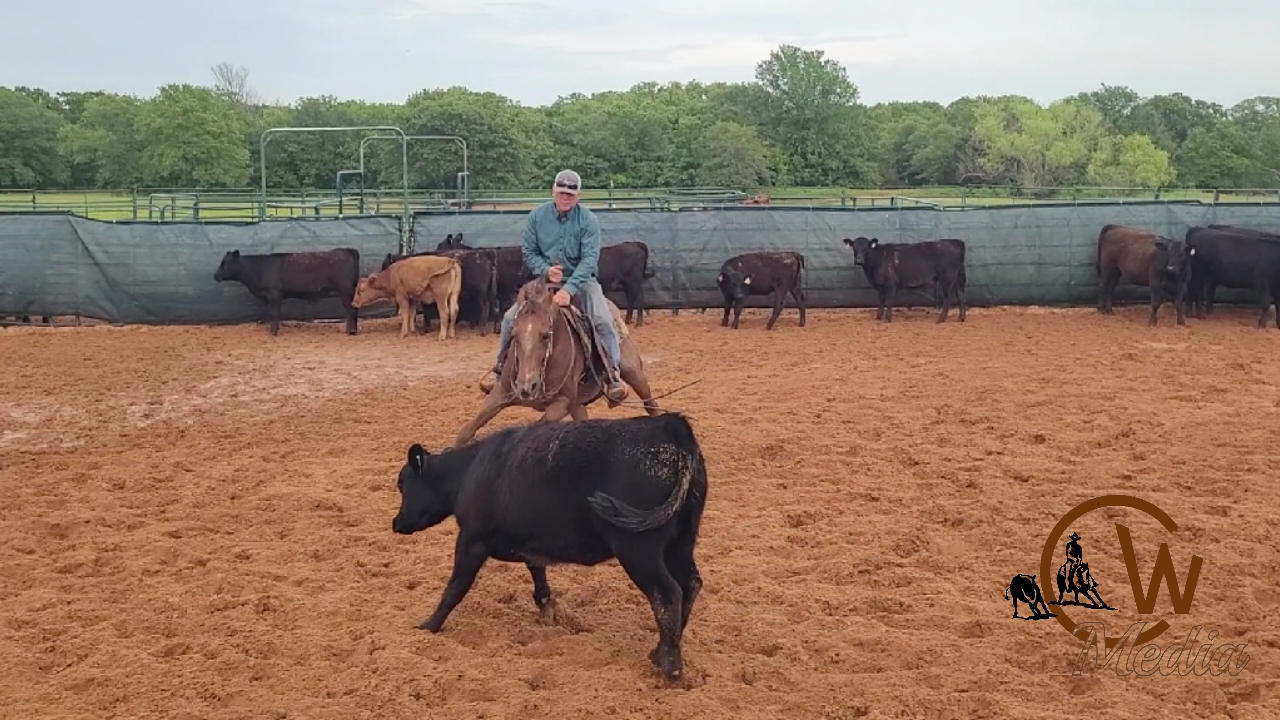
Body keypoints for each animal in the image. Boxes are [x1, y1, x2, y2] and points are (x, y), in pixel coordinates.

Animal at [452, 275, 662, 448]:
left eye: (546, 335)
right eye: (514, 334)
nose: (526, 387)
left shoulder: (561, 404)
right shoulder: (500, 393)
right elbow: (466, 432)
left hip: (633, 371)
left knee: (650, 405)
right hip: (577, 404)